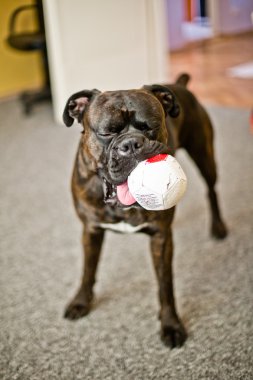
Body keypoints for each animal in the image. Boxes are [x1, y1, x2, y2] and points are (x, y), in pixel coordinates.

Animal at [61, 73, 227, 348]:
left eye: (150, 126)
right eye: (106, 132)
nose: (131, 144)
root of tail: (179, 84)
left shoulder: (161, 238)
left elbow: (165, 285)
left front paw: (171, 325)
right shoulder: (91, 231)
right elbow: (88, 270)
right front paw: (81, 302)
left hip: (204, 156)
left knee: (212, 191)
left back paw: (218, 227)